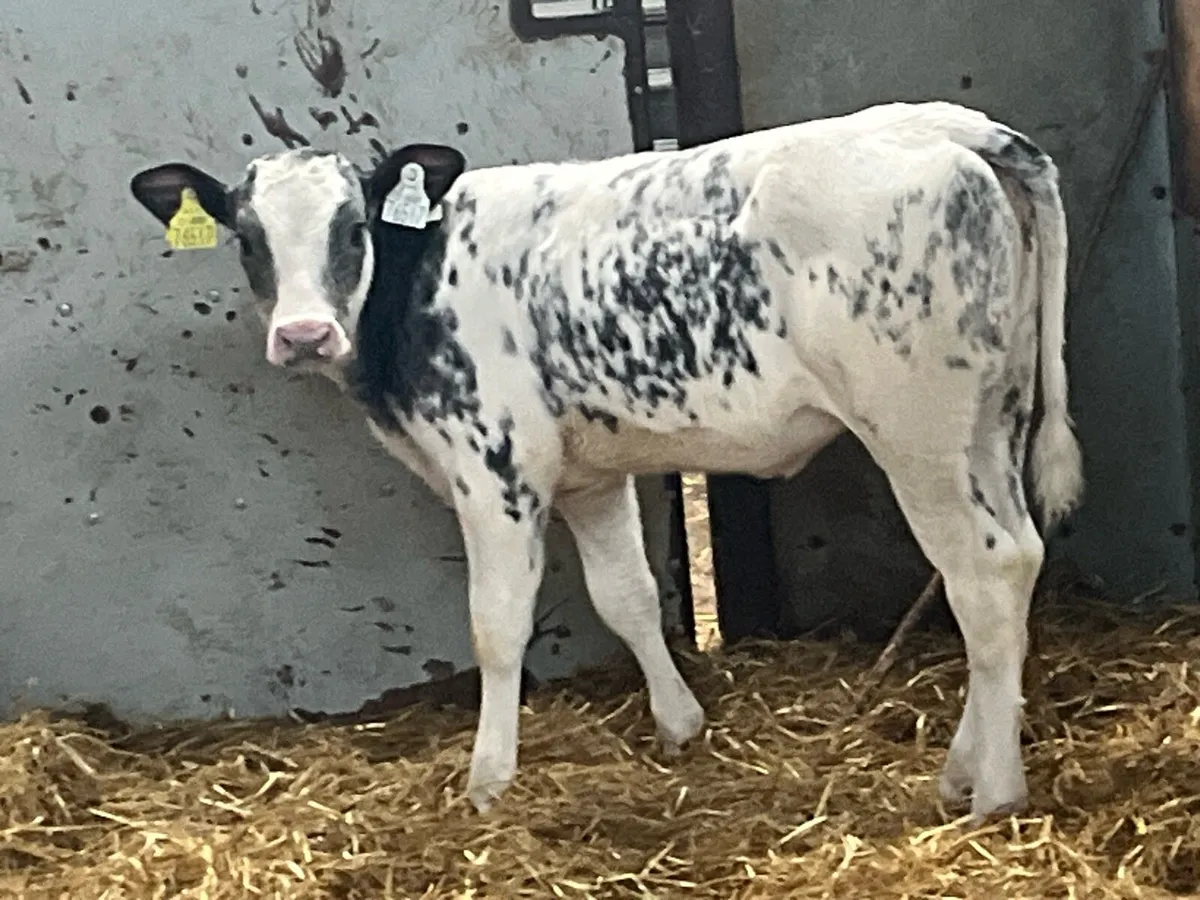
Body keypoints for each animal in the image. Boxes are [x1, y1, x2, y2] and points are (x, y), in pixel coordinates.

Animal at [128, 100, 1083, 822]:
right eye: (247, 236)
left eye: (352, 226)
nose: (303, 334)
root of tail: (950, 125)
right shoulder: (590, 477)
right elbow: (627, 597)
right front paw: (681, 724)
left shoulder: (494, 470)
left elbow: (498, 626)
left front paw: (489, 779)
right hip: (989, 421)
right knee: (1016, 561)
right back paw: (966, 767)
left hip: (920, 432)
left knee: (982, 575)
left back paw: (992, 791)